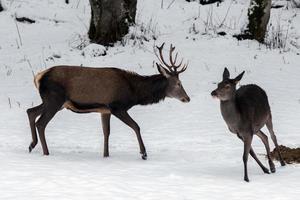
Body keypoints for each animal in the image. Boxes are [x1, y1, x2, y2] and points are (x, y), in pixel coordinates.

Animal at [26, 43, 190, 159]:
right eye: (178, 83)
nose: (187, 98)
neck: (134, 92)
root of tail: (38, 77)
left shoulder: (105, 110)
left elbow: (106, 132)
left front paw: (106, 155)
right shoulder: (117, 107)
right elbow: (136, 126)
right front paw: (143, 153)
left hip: (53, 102)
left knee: (30, 111)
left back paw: (31, 145)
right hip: (54, 99)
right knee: (41, 123)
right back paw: (46, 152)